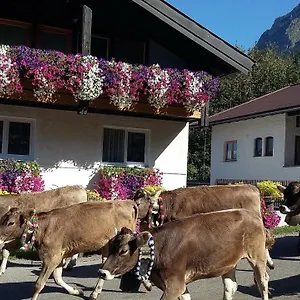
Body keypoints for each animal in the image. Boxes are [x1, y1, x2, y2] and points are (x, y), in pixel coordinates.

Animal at [0, 198, 137, 298]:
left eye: (11, 223)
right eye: (2, 219)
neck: (43, 228)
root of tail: (128, 201)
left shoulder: (51, 257)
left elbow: (39, 284)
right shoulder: (59, 257)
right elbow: (57, 278)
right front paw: (76, 291)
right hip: (107, 245)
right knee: (105, 265)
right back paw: (96, 291)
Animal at [97, 209, 274, 300]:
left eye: (123, 251)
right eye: (110, 247)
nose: (102, 272)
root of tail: (252, 214)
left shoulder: (175, 284)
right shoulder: (176, 285)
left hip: (257, 257)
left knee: (262, 282)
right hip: (228, 263)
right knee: (230, 287)